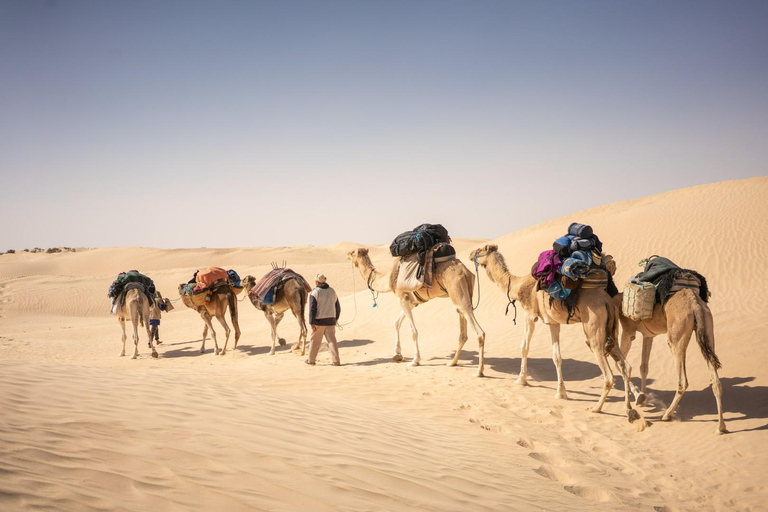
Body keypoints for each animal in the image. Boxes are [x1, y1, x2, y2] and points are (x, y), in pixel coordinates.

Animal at [348, 247, 486, 376]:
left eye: (352, 252)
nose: (347, 254)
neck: (388, 278)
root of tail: (465, 271)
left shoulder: (402, 298)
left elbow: (413, 331)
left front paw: (415, 361)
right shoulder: (412, 302)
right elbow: (396, 323)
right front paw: (397, 354)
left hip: (458, 291)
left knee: (479, 331)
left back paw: (479, 371)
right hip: (463, 293)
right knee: (463, 332)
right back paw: (452, 362)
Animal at [468, 244, 640, 428]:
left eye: (480, 250)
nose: (470, 254)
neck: (517, 286)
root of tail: (607, 301)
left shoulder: (529, 314)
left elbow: (524, 347)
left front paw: (521, 380)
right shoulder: (553, 322)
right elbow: (556, 356)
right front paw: (561, 393)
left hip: (594, 328)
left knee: (608, 373)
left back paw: (596, 408)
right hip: (612, 329)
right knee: (625, 366)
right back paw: (629, 408)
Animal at [612, 288, 728, 432]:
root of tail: (695, 305)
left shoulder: (629, 331)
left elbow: (620, 364)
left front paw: (637, 399)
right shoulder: (648, 335)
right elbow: (643, 367)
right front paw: (643, 399)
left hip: (675, 338)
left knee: (683, 381)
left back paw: (667, 414)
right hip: (707, 329)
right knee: (716, 380)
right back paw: (721, 427)